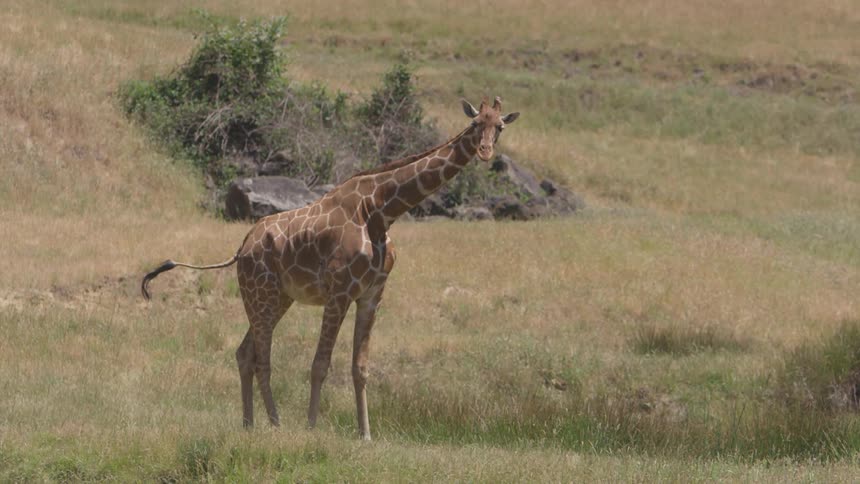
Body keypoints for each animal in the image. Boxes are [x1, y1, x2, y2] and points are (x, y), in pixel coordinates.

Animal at [141, 97, 519, 440]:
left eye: (499, 126)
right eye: (475, 123)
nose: (485, 151)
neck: (381, 210)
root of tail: (242, 247)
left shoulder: (372, 295)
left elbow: (360, 368)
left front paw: (365, 434)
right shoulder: (339, 292)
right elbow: (320, 364)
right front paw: (312, 427)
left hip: (277, 298)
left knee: (244, 353)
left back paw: (249, 424)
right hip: (260, 293)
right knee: (261, 358)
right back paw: (275, 423)